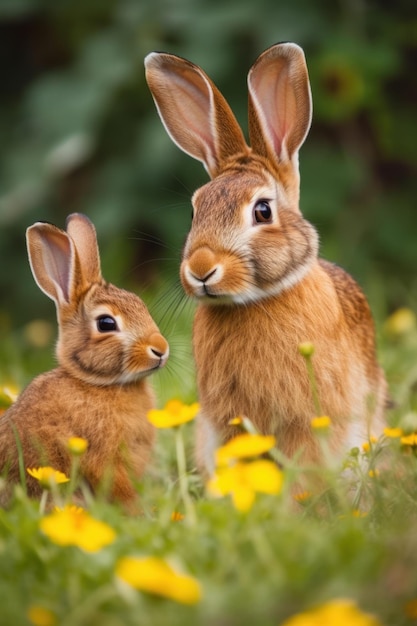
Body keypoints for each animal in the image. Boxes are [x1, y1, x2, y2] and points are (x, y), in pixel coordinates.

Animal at [0, 212, 169, 510]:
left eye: (140, 303)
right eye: (106, 323)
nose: (160, 349)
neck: (98, 384)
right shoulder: (102, 457)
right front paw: (136, 511)